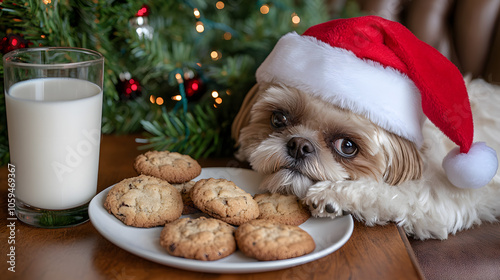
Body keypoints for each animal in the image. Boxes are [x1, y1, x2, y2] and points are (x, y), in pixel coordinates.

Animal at [232, 15, 498, 238]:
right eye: (278, 119)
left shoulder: (444, 196)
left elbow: (398, 193)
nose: (299, 145)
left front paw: (331, 195)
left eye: (347, 146)